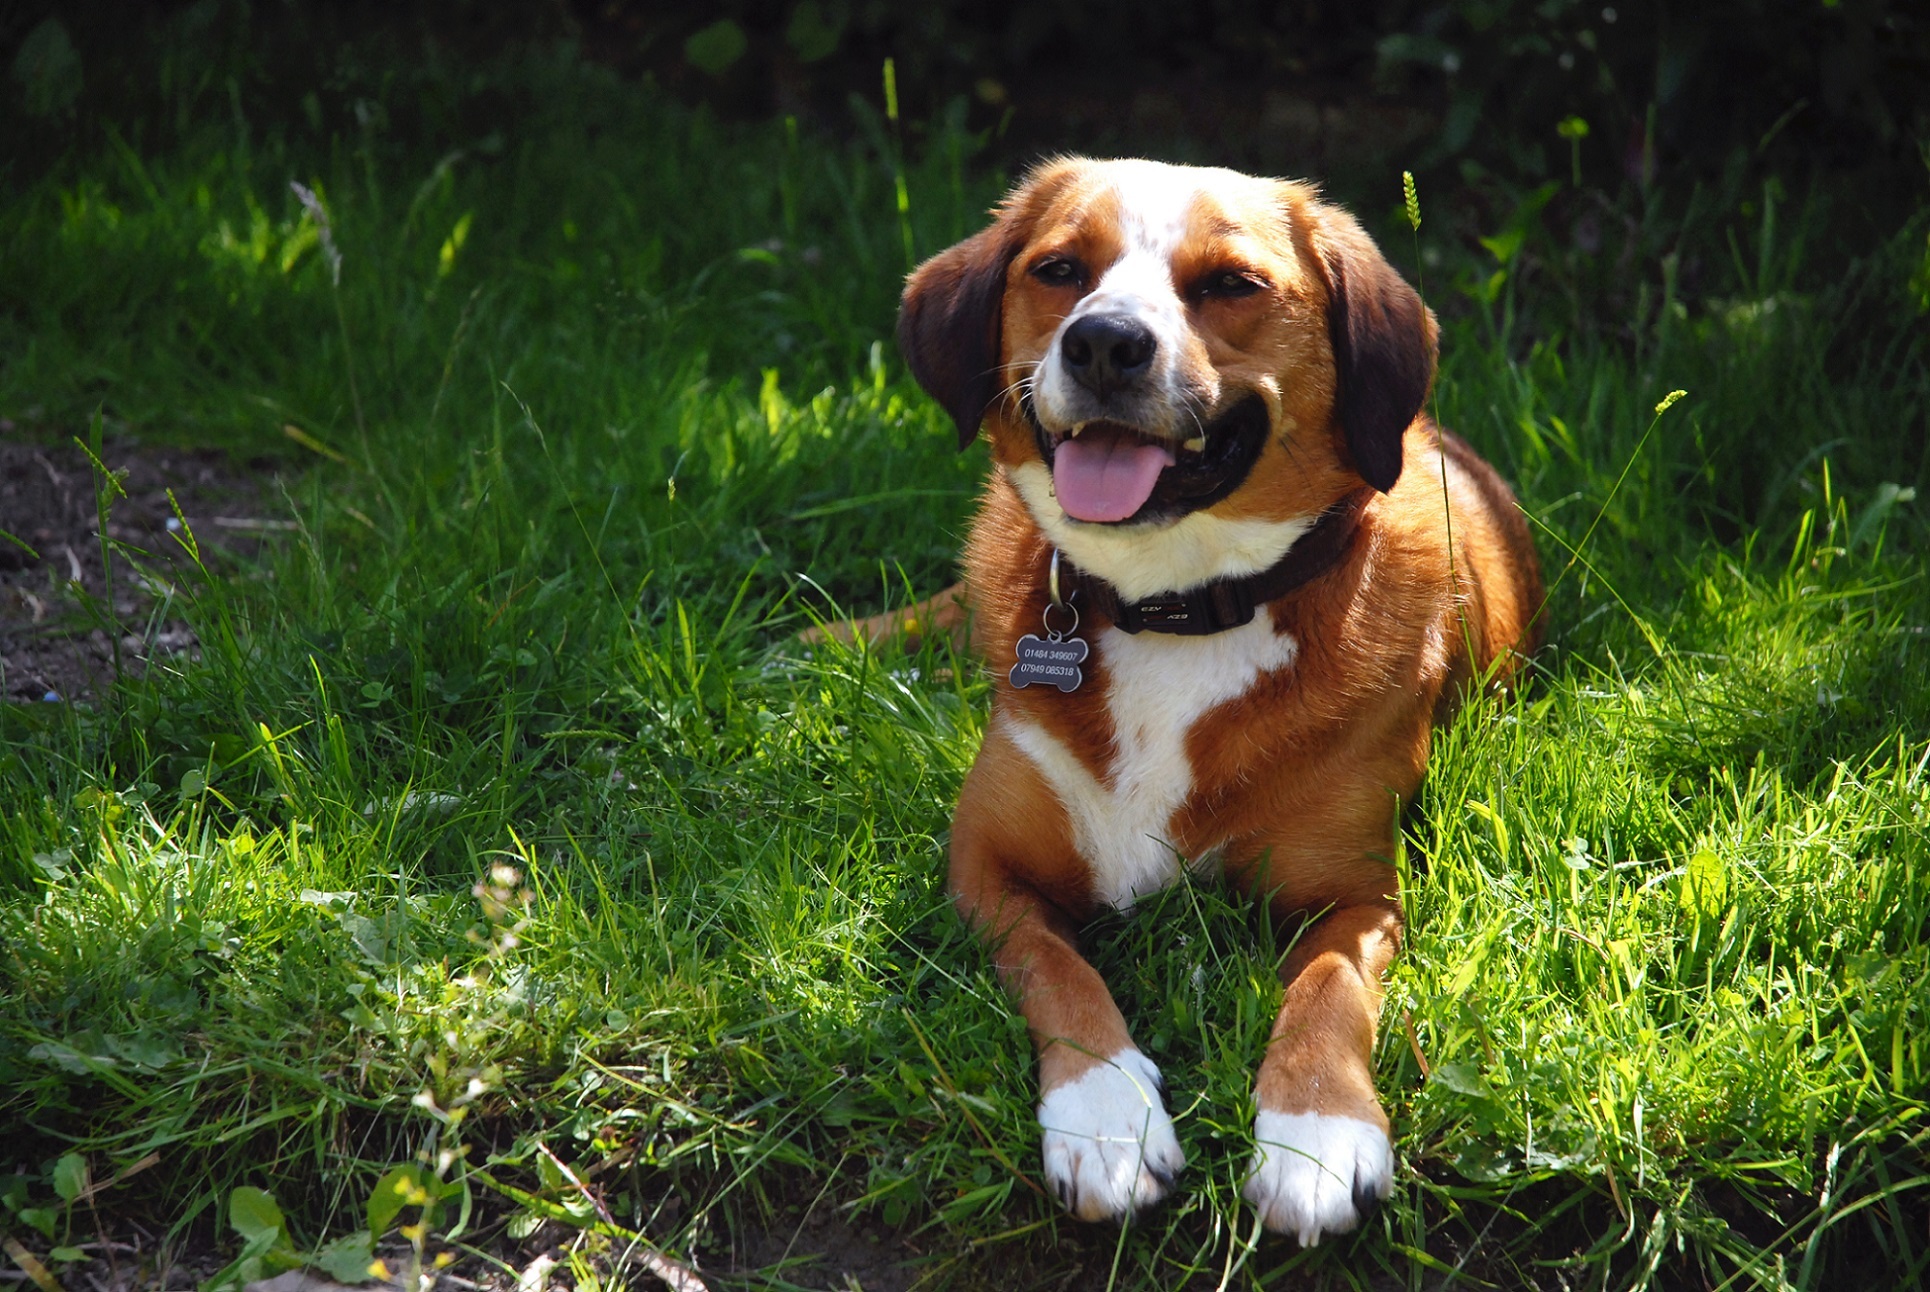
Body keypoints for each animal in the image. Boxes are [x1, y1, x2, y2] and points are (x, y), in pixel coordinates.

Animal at [860, 156, 1536, 1243]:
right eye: (1060, 269)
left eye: (1230, 284)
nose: (1103, 340)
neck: (1169, 607)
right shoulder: (985, 866)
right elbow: (1058, 967)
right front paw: (1104, 1118)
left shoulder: (1358, 896)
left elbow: (1328, 990)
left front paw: (1316, 1133)